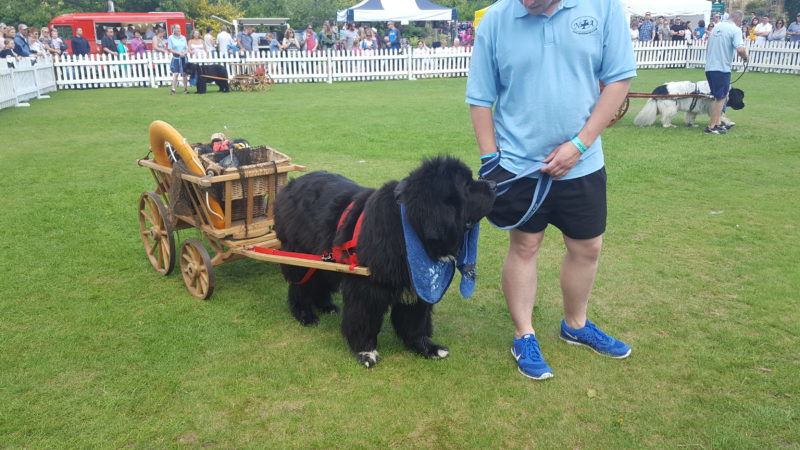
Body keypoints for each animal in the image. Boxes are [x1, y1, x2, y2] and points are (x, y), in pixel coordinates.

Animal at [276, 156, 500, 368]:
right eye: (466, 185)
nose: (494, 184)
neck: (408, 227)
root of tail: (292, 185)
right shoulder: (366, 287)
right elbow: (364, 319)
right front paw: (365, 352)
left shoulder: (416, 286)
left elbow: (416, 321)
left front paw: (426, 347)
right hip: (300, 255)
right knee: (301, 286)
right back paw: (305, 314)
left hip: (325, 258)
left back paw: (326, 305)